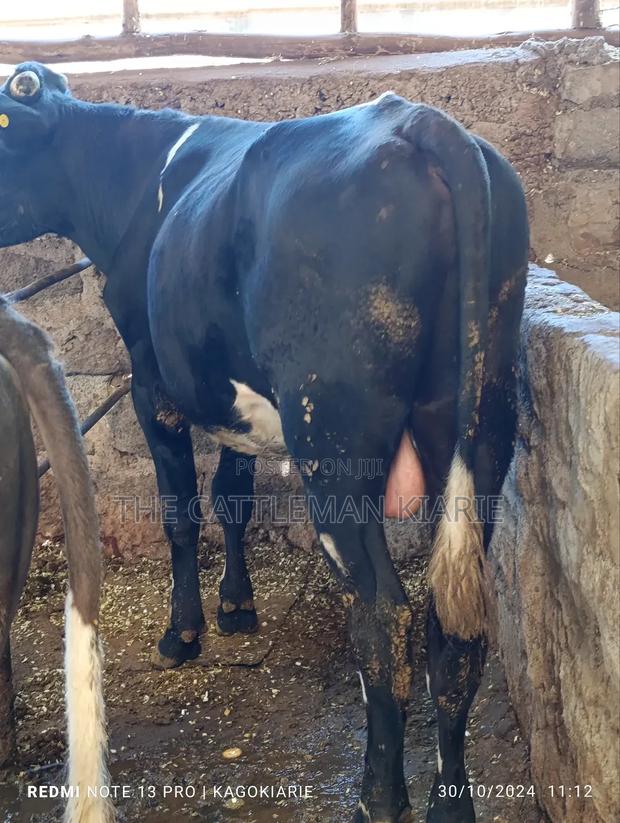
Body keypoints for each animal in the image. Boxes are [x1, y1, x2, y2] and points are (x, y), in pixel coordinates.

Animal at [0, 61, 528, 822]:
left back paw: (377, 795)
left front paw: (183, 633)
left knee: (382, 615)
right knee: (454, 627)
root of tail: (424, 122)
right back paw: (450, 805)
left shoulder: (153, 384)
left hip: (331, 437)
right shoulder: (228, 393)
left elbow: (182, 513)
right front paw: (238, 606)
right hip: (482, 426)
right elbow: (232, 494)